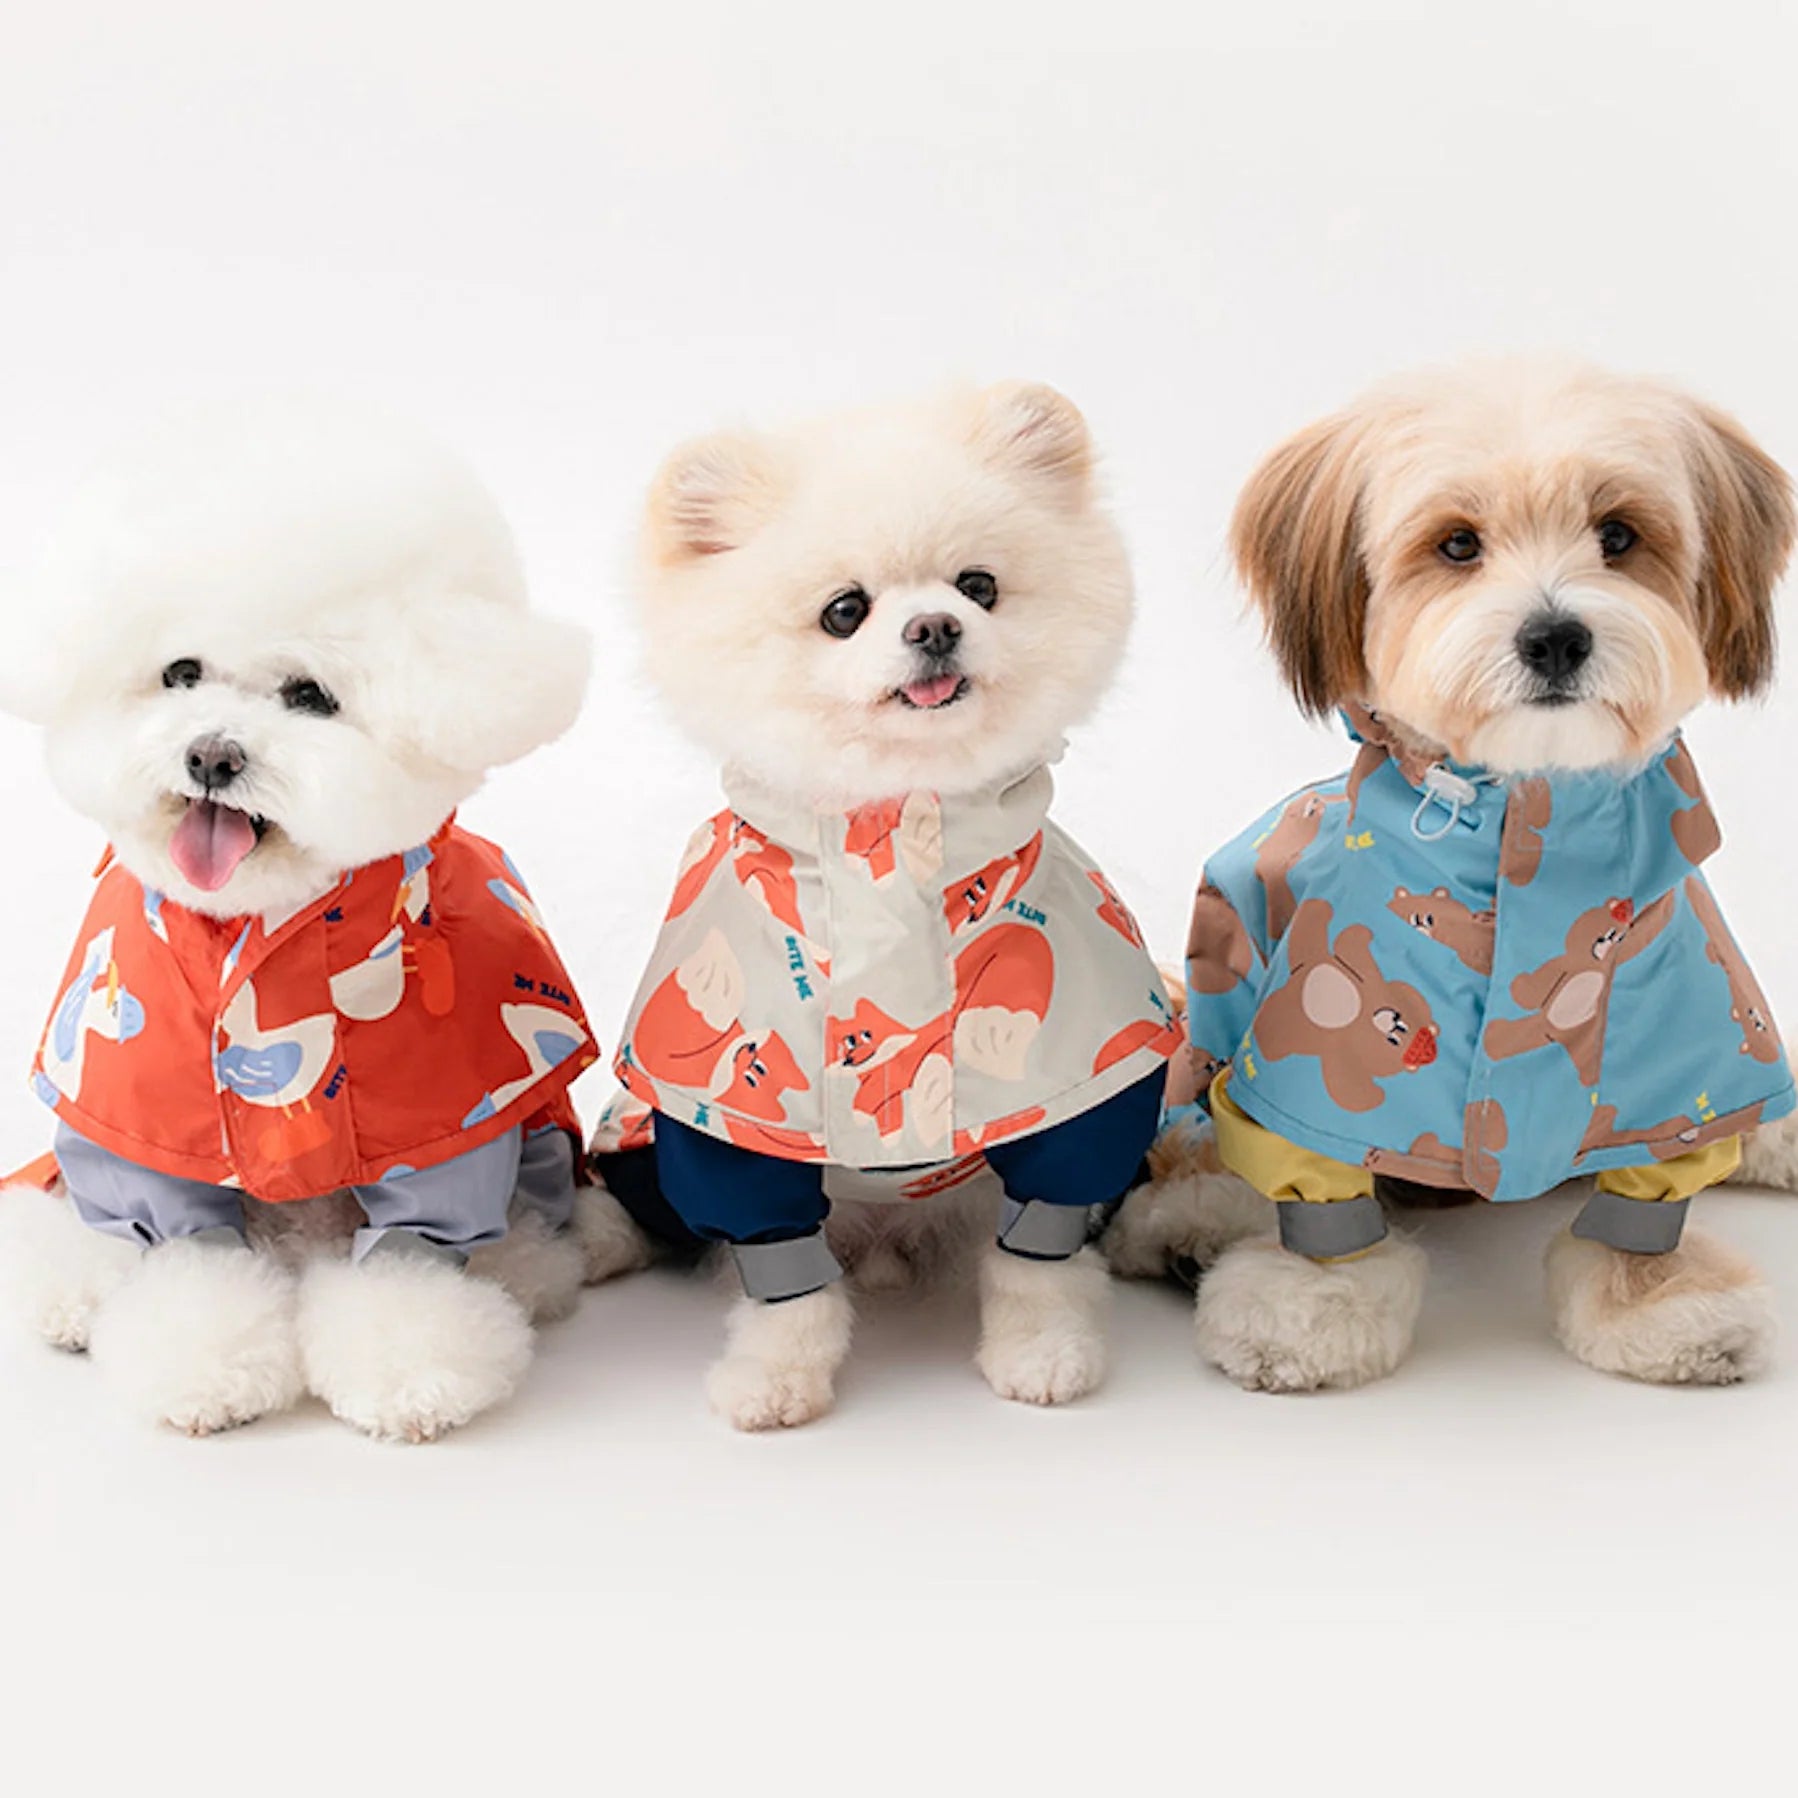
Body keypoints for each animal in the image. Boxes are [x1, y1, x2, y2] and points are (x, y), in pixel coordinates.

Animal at [0, 410, 605, 1440]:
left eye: (310, 696)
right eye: (181, 673)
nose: (211, 754)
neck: (263, 929)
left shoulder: (442, 1124)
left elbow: (411, 1261)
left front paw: (410, 1374)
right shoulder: (148, 1113)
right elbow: (184, 1254)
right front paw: (204, 1368)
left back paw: (522, 1268)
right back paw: (78, 1288)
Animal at [582, 382, 1179, 1429]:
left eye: (978, 585)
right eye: (844, 612)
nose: (934, 627)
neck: (893, 834)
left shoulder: (1085, 1093)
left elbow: (1040, 1259)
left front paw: (1044, 1352)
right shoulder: (731, 1124)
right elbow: (784, 1280)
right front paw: (775, 1379)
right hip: (641, 1131)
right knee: (639, 1200)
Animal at [1105, 357, 1795, 1390]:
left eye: (1620, 534)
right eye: (1459, 543)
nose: (1555, 638)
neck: (1531, 818)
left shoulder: (1686, 1065)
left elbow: (1654, 1194)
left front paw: (1662, 1299)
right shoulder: (1310, 1064)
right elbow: (1316, 1187)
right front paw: (1308, 1307)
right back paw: (1186, 1227)